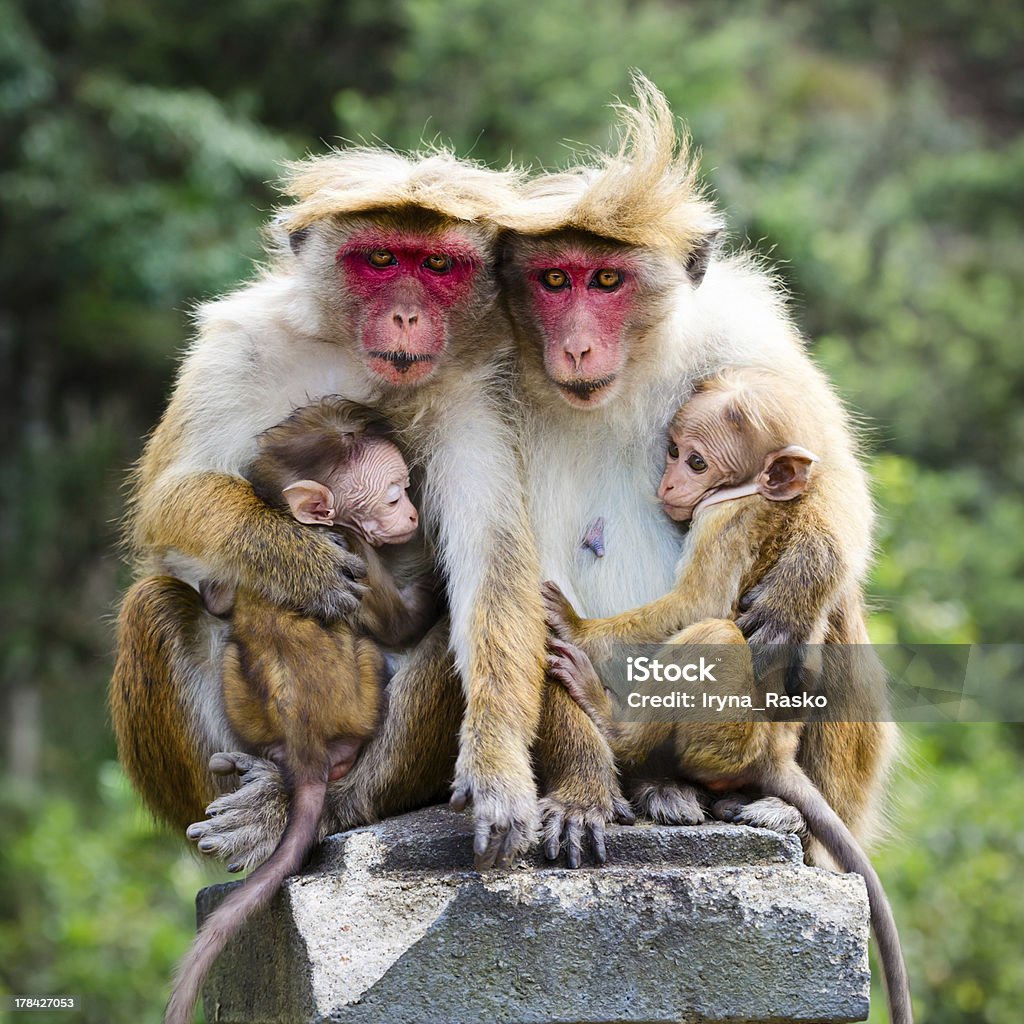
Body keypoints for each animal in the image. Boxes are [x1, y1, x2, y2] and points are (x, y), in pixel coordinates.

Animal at [166, 395, 436, 1024]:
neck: (312, 526)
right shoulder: (356, 552)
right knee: (374, 652)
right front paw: (436, 579)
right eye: (395, 495)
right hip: (363, 696)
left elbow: (223, 592)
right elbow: (398, 621)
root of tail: (306, 745)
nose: (415, 516)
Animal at [544, 368, 913, 1024]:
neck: (752, 493)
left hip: (724, 736)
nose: (668, 482)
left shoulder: (726, 520)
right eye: (671, 451)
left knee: (713, 635)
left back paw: (611, 722)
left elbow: (700, 605)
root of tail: (774, 757)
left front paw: (576, 628)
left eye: (696, 461)